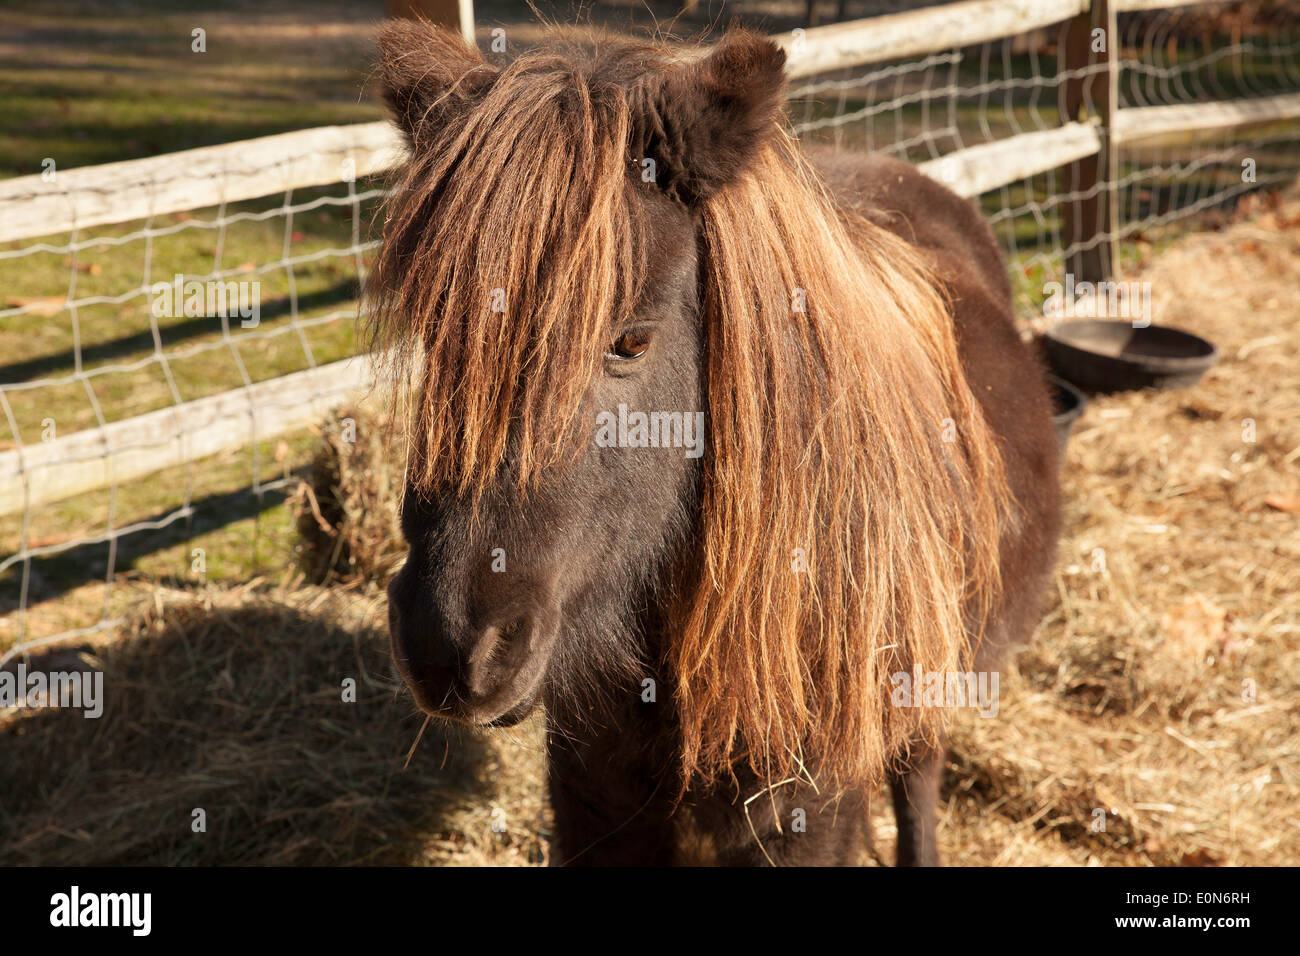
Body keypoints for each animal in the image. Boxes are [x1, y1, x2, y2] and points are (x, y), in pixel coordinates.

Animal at [366, 20, 1055, 868]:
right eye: (434, 332)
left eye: (630, 339)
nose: (450, 642)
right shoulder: (593, 804)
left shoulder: (811, 815)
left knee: (919, 777)